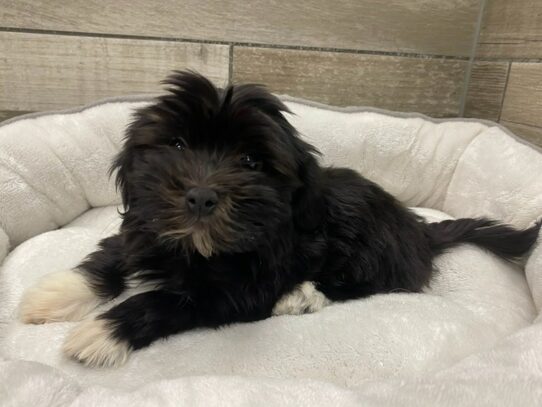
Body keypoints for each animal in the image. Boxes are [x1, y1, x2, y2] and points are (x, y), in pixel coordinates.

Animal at [19, 71, 540, 368]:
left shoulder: (235, 291)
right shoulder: (147, 225)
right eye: (178, 144)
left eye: (251, 161)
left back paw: (301, 297)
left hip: (368, 252)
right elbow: (112, 256)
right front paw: (54, 294)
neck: (197, 247)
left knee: (355, 283)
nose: (201, 196)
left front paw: (102, 333)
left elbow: (168, 300)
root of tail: (418, 230)